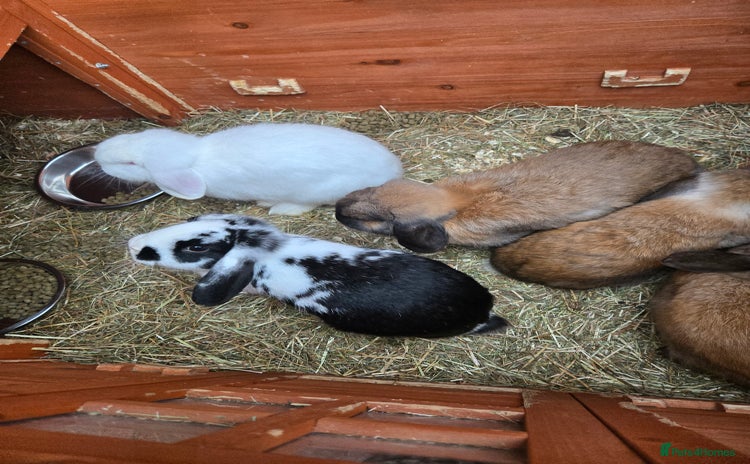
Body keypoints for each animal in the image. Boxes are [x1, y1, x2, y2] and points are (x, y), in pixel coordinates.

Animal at [94, 123, 403, 215]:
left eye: (131, 164)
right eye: (139, 135)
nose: (97, 153)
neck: (197, 153)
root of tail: (393, 172)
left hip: (318, 193)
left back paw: (275, 207)